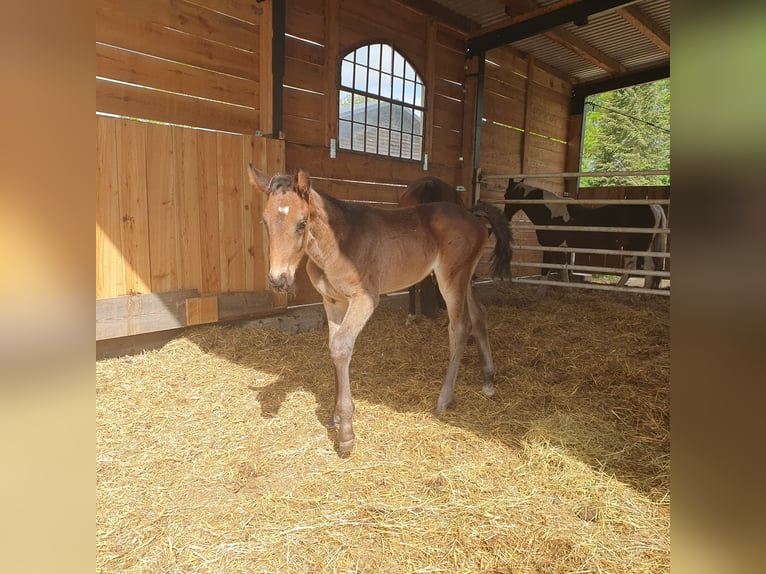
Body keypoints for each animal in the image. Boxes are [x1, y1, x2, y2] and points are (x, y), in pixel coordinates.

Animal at [504, 181, 664, 290]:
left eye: (508, 196)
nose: (505, 216)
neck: (552, 213)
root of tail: (654, 206)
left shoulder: (551, 246)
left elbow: (547, 269)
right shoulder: (560, 248)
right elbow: (562, 269)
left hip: (640, 247)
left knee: (647, 267)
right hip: (632, 247)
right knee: (631, 267)